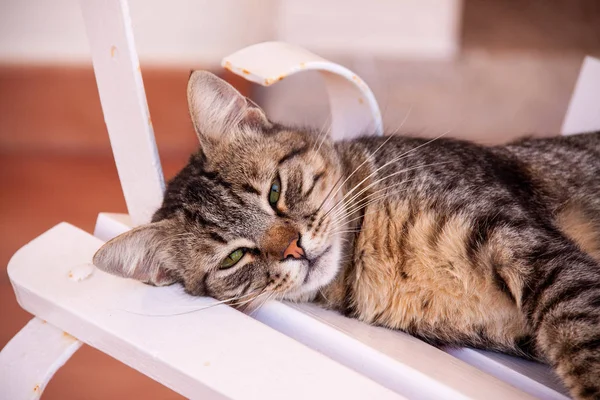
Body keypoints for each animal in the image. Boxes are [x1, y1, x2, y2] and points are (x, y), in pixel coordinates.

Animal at [94, 70, 600, 398]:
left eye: (275, 191)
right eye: (233, 258)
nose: (294, 248)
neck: (376, 255)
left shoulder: (519, 240)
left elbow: (579, 335)